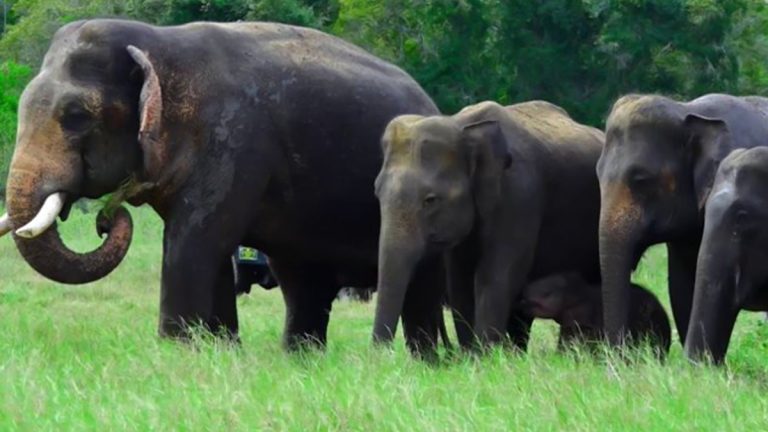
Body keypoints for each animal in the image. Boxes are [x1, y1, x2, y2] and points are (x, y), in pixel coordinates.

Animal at [3, 19, 440, 352]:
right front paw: (221, 349)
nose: (106, 220)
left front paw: (177, 350)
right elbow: (210, 249)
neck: (158, 44)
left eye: (76, 116)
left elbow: (196, 240)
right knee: (303, 282)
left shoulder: (234, 141)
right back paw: (299, 357)